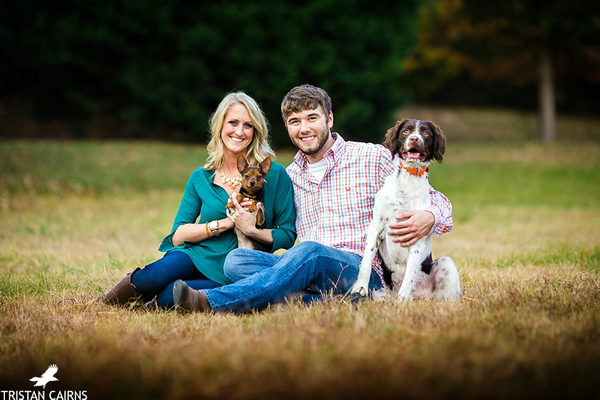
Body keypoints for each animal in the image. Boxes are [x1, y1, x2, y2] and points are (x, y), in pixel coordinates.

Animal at [350, 119, 462, 304]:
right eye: (406, 131)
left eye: (426, 133)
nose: (414, 139)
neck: (408, 178)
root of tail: (419, 296)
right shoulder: (376, 225)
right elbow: (366, 260)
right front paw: (360, 288)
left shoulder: (417, 236)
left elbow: (409, 276)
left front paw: (401, 303)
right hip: (380, 293)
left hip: (446, 265)